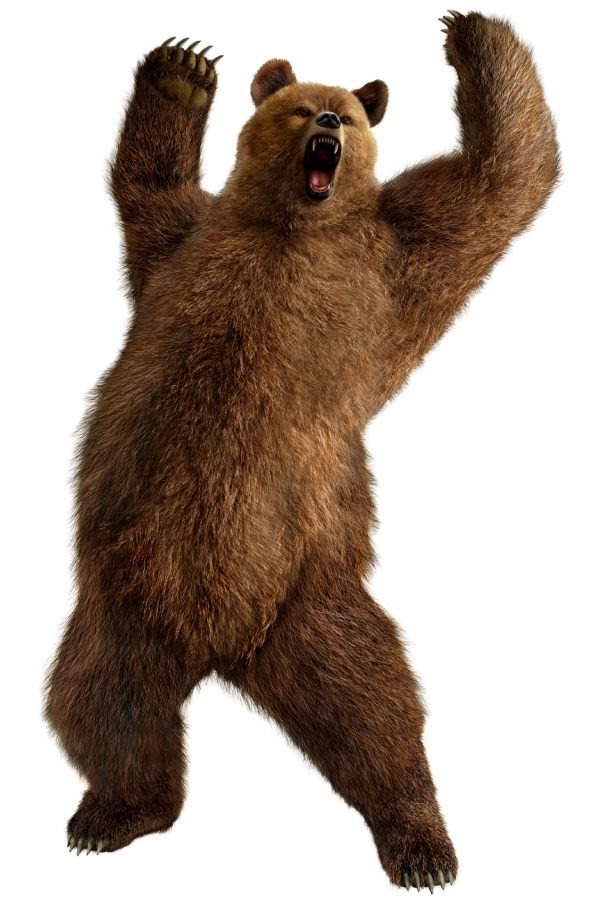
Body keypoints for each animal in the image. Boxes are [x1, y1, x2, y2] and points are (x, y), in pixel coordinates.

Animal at [38, 9, 565, 892]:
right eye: (297, 107)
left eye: (345, 113)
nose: (326, 124)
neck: (292, 225)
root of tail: (219, 645)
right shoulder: (183, 250)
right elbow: (147, 193)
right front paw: (185, 69)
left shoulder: (390, 260)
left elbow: (494, 182)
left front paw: (474, 33)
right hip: (122, 602)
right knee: (102, 702)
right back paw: (112, 813)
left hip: (308, 590)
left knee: (376, 701)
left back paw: (420, 841)